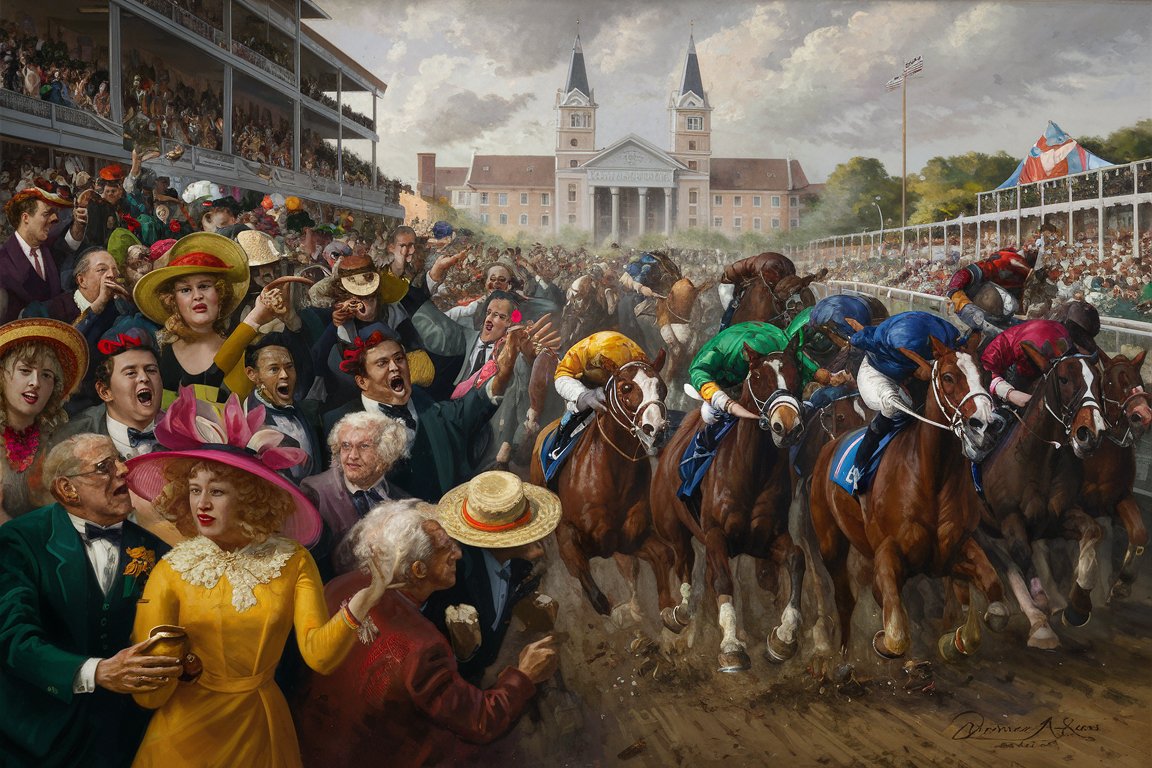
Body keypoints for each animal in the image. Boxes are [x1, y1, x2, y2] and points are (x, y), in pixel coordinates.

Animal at [527, 352, 672, 617]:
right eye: (626, 387)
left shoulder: (628, 539)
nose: (656, 430)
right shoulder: (569, 539)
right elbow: (598, 600)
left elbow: (663, 554)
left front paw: (670, 610)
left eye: (662, 388)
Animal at [811, 338, 1009, 663]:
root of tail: (832, 444)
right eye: (948, 377)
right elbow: (896, 635)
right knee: (844, 598)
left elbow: (994, 602)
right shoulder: (888, 555)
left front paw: (958, 637)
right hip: (829, 543)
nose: (987, 425)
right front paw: (883, 641)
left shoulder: (953, 550)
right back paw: (843, 658)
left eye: (985, 374)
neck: (932, 476)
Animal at [981, 347, 1105, 649]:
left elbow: (1093, 531)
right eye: (1063, 379)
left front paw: (1077, 605)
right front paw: (1039, 615)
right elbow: (1019, 556)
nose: (1090, 434)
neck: (1041, 460)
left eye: (1098, 381)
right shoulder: (1007, 519)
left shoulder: (1057, 517)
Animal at [1073, 352, 1147, 603]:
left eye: (1139, 381)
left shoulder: (1120, 497)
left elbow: (1139, 533)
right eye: (1111, 383)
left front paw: (1123, 582)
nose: (1142, 416)